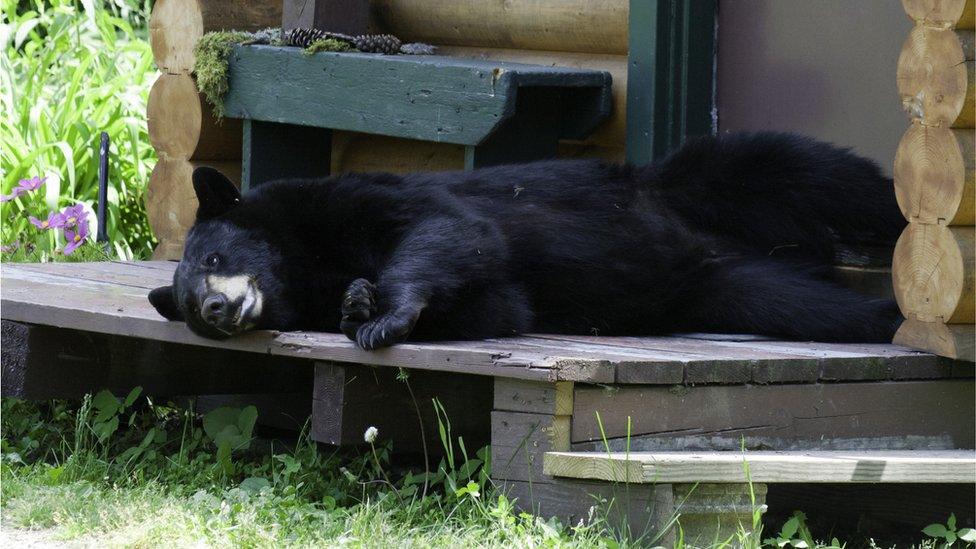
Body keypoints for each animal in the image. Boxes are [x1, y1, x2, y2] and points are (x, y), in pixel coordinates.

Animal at [149, 131, 904, 348]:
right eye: (186, 305)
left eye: (215, 256)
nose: (214, 307)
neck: (303, 262)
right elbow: (500, 305)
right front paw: (359, 304)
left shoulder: (354, 199)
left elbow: (444, 229)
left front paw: (382, 310)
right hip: (724, 287)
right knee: (807, 305)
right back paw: (877, 311)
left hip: (696, 182)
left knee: (814, 171)